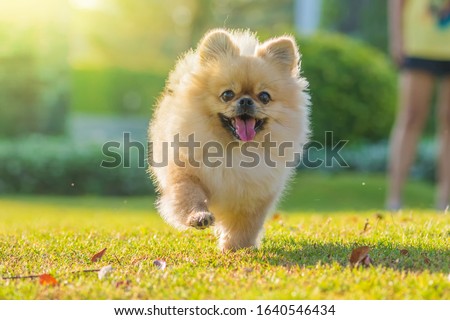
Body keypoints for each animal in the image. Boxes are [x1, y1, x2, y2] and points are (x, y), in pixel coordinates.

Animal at [148, 28, 310, 251]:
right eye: (227, 94)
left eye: (264, 97)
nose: (246, 101)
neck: (234, 150)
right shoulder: (185, 174)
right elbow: (189, 196)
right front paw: (199, 217)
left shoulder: (255, 193)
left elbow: (246, 223)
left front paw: (236, 247)